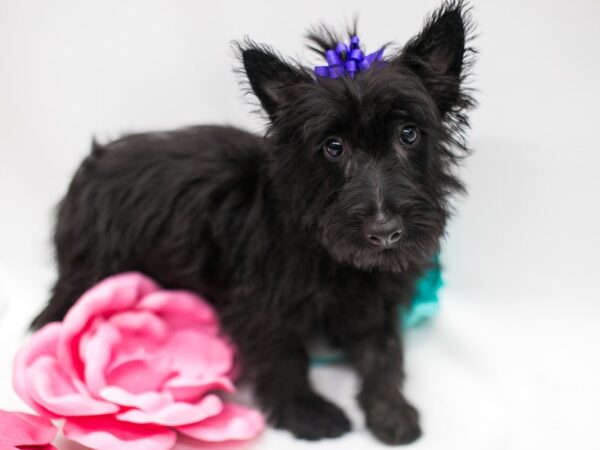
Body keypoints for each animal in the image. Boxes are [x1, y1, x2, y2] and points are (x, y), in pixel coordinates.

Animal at [32, 0, 476, 442]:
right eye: (333, 147)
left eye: (409, 134)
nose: (384, 233)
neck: (326, 246)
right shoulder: (260, 305)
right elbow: (284, 357)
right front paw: (307, 413)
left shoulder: (377, 300)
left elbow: (384, 352)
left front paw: (390, 411)